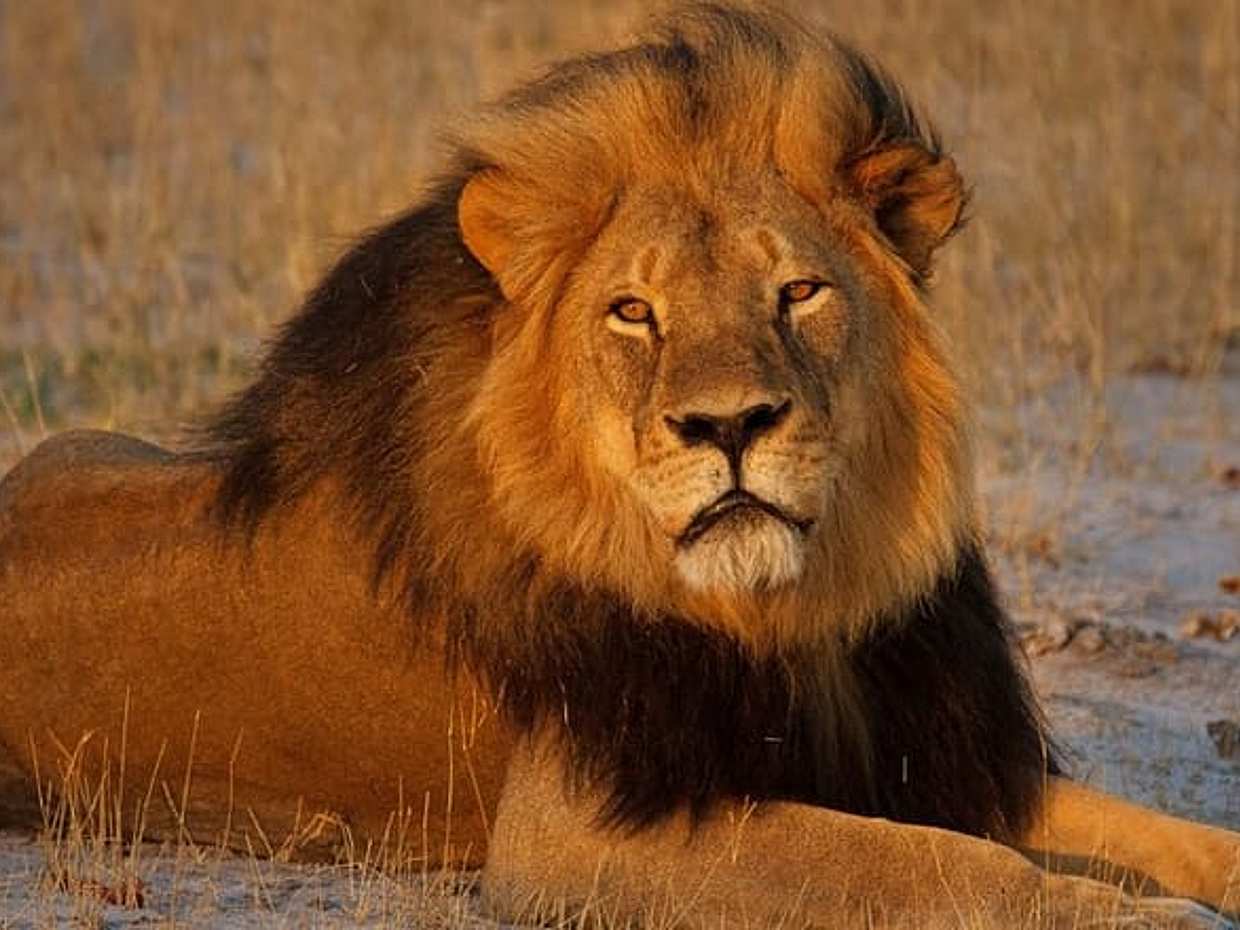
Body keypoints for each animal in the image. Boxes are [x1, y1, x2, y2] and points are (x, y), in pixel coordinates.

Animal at [0, 5, 1237, 927]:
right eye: (633, 312)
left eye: (799, 291)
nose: (730, 425)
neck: (791, 612)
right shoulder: (575, 836)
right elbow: (929, 867)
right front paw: (1145, 919)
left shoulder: (926, 755)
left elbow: (1155, 833)